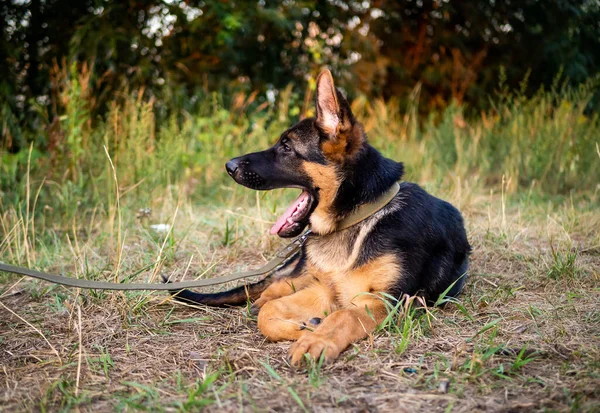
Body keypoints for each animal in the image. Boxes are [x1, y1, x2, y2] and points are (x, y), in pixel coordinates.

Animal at [171, 71, 472, 364]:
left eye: (287, 147)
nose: (229, 166)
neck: (358, 217)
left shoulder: (382, 301)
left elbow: (342, 315)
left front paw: (317, 338)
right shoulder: (324, 289)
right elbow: (269, 312)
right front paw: (305, 328)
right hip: (302, 270)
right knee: (276, 285)